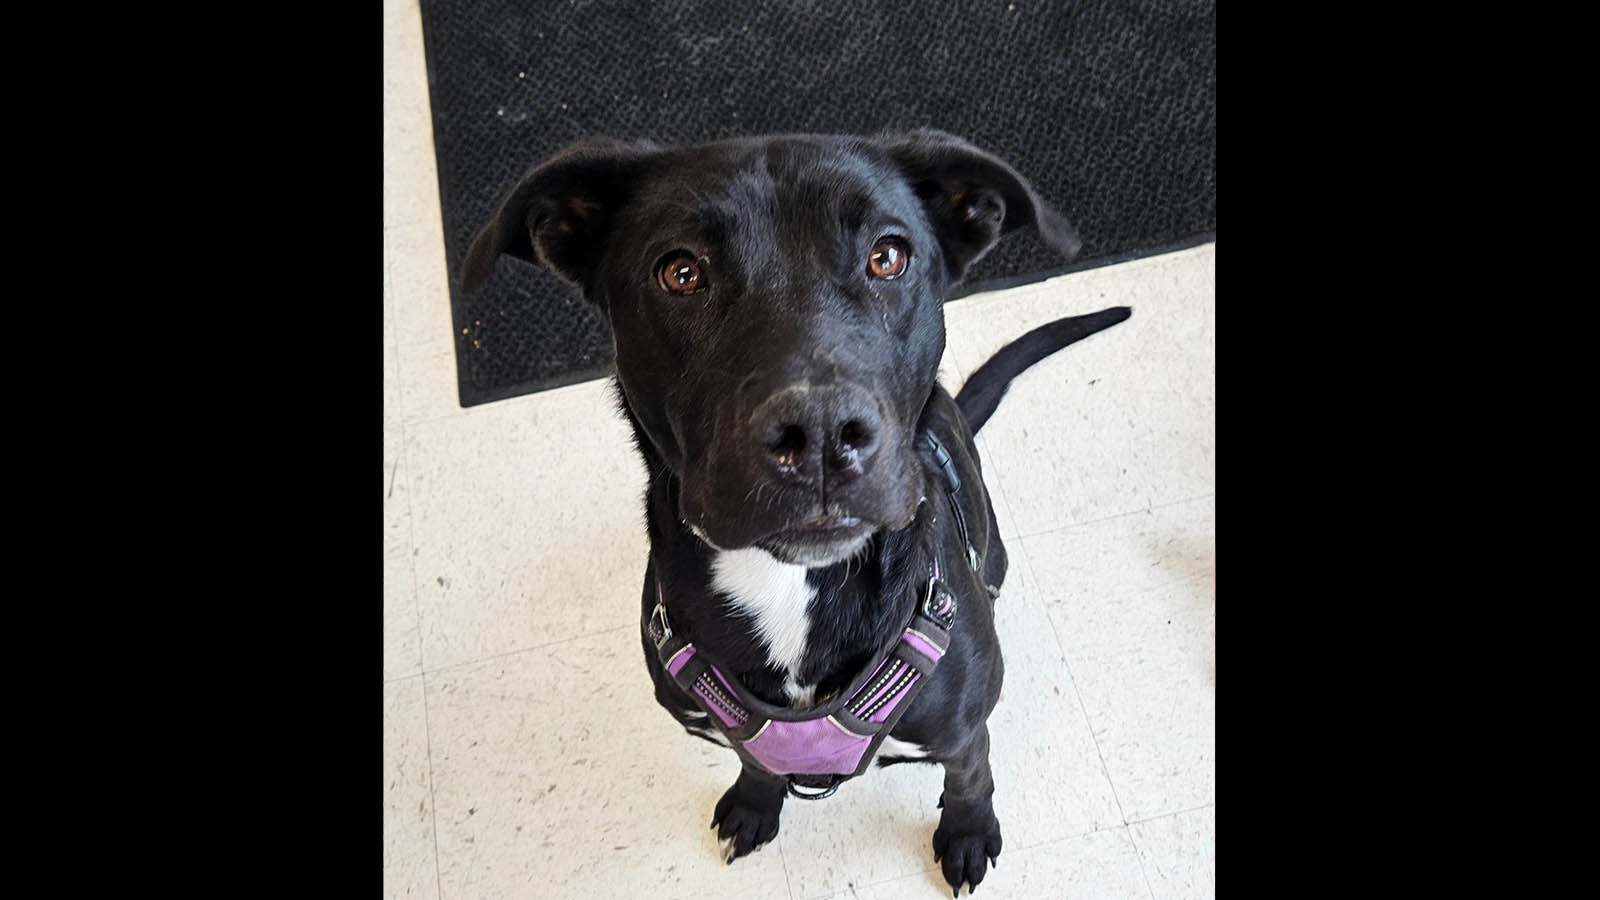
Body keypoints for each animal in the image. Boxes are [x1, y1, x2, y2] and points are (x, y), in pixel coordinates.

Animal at [464, 129, 1132, 890]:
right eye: (680, 272)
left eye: (887, 256)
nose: (818, 434)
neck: (788, 586)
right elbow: (753, 758)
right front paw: (756, 802)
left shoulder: (963, 730)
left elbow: (970, 775)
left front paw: (966, 833)